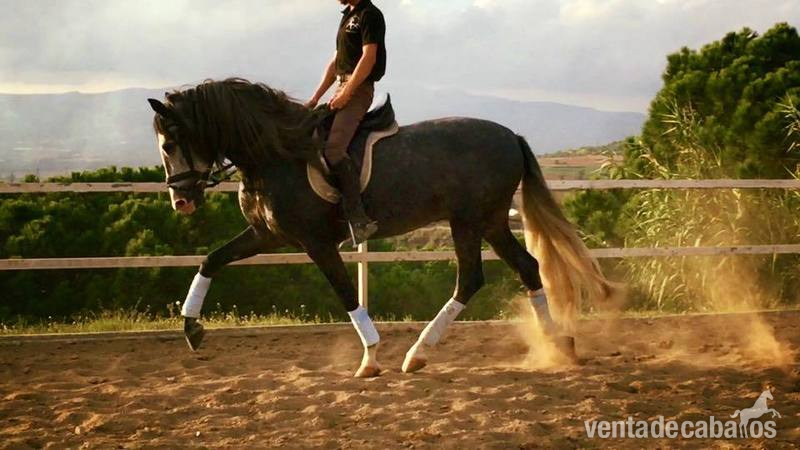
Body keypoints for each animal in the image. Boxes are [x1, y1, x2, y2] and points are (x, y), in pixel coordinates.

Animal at [147, 78, 616, 377]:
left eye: (170, 144)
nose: (181, 202)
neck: (276, 154)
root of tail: (511, 137)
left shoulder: (316, 242)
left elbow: (346, 294)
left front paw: (370, 360)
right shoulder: (269, 236)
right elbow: (211, 260)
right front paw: (192, 331)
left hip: (469, 220)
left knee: (472, 278)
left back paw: (418, 353)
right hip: (491, 221)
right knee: (526, 268)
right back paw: (558, 345)